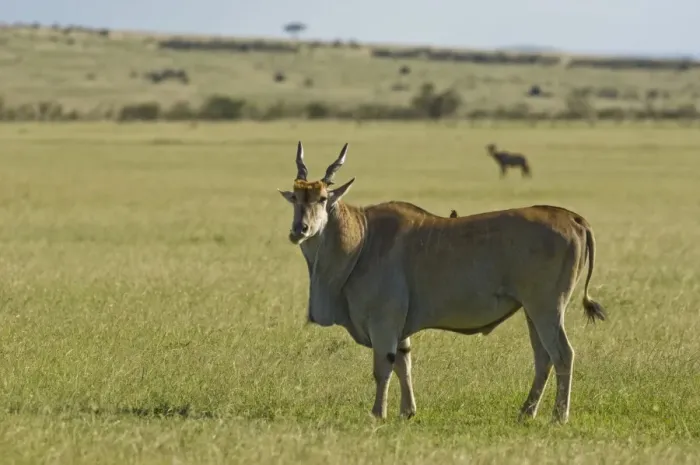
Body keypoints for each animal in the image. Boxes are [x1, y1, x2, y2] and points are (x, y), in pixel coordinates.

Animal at [278, 142, 606, 423]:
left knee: (563, 355)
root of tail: (575, 219)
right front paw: (407, 412)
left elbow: (383, 368)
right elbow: (404, 364)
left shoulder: (384, 322)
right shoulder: (399, 328)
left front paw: (377, 414)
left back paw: (558, 416)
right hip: (532, 311)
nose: (299, 229)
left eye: (322, 199)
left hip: (546, 308)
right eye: (295, 198)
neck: (363, 237)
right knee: (543, 357)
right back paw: (526, 412)